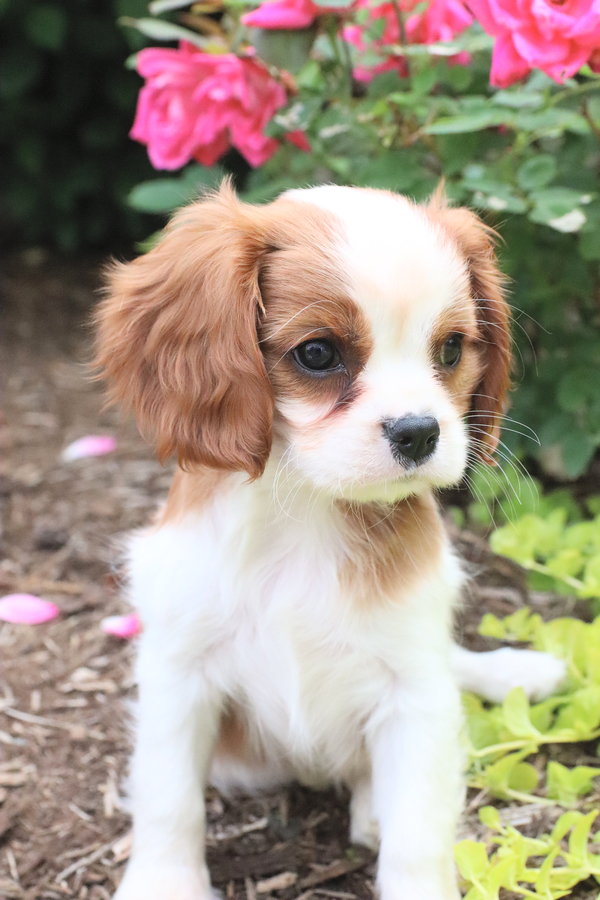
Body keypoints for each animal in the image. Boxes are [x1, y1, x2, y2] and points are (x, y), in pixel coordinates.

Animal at [96, 185, 564, 900]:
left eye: (451, 350)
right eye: (317, 354)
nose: (419, 431)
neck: (307, 509)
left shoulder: (414, 685)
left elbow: (419, 832)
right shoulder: (180, 668)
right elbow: (168, 796)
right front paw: (163, 884)